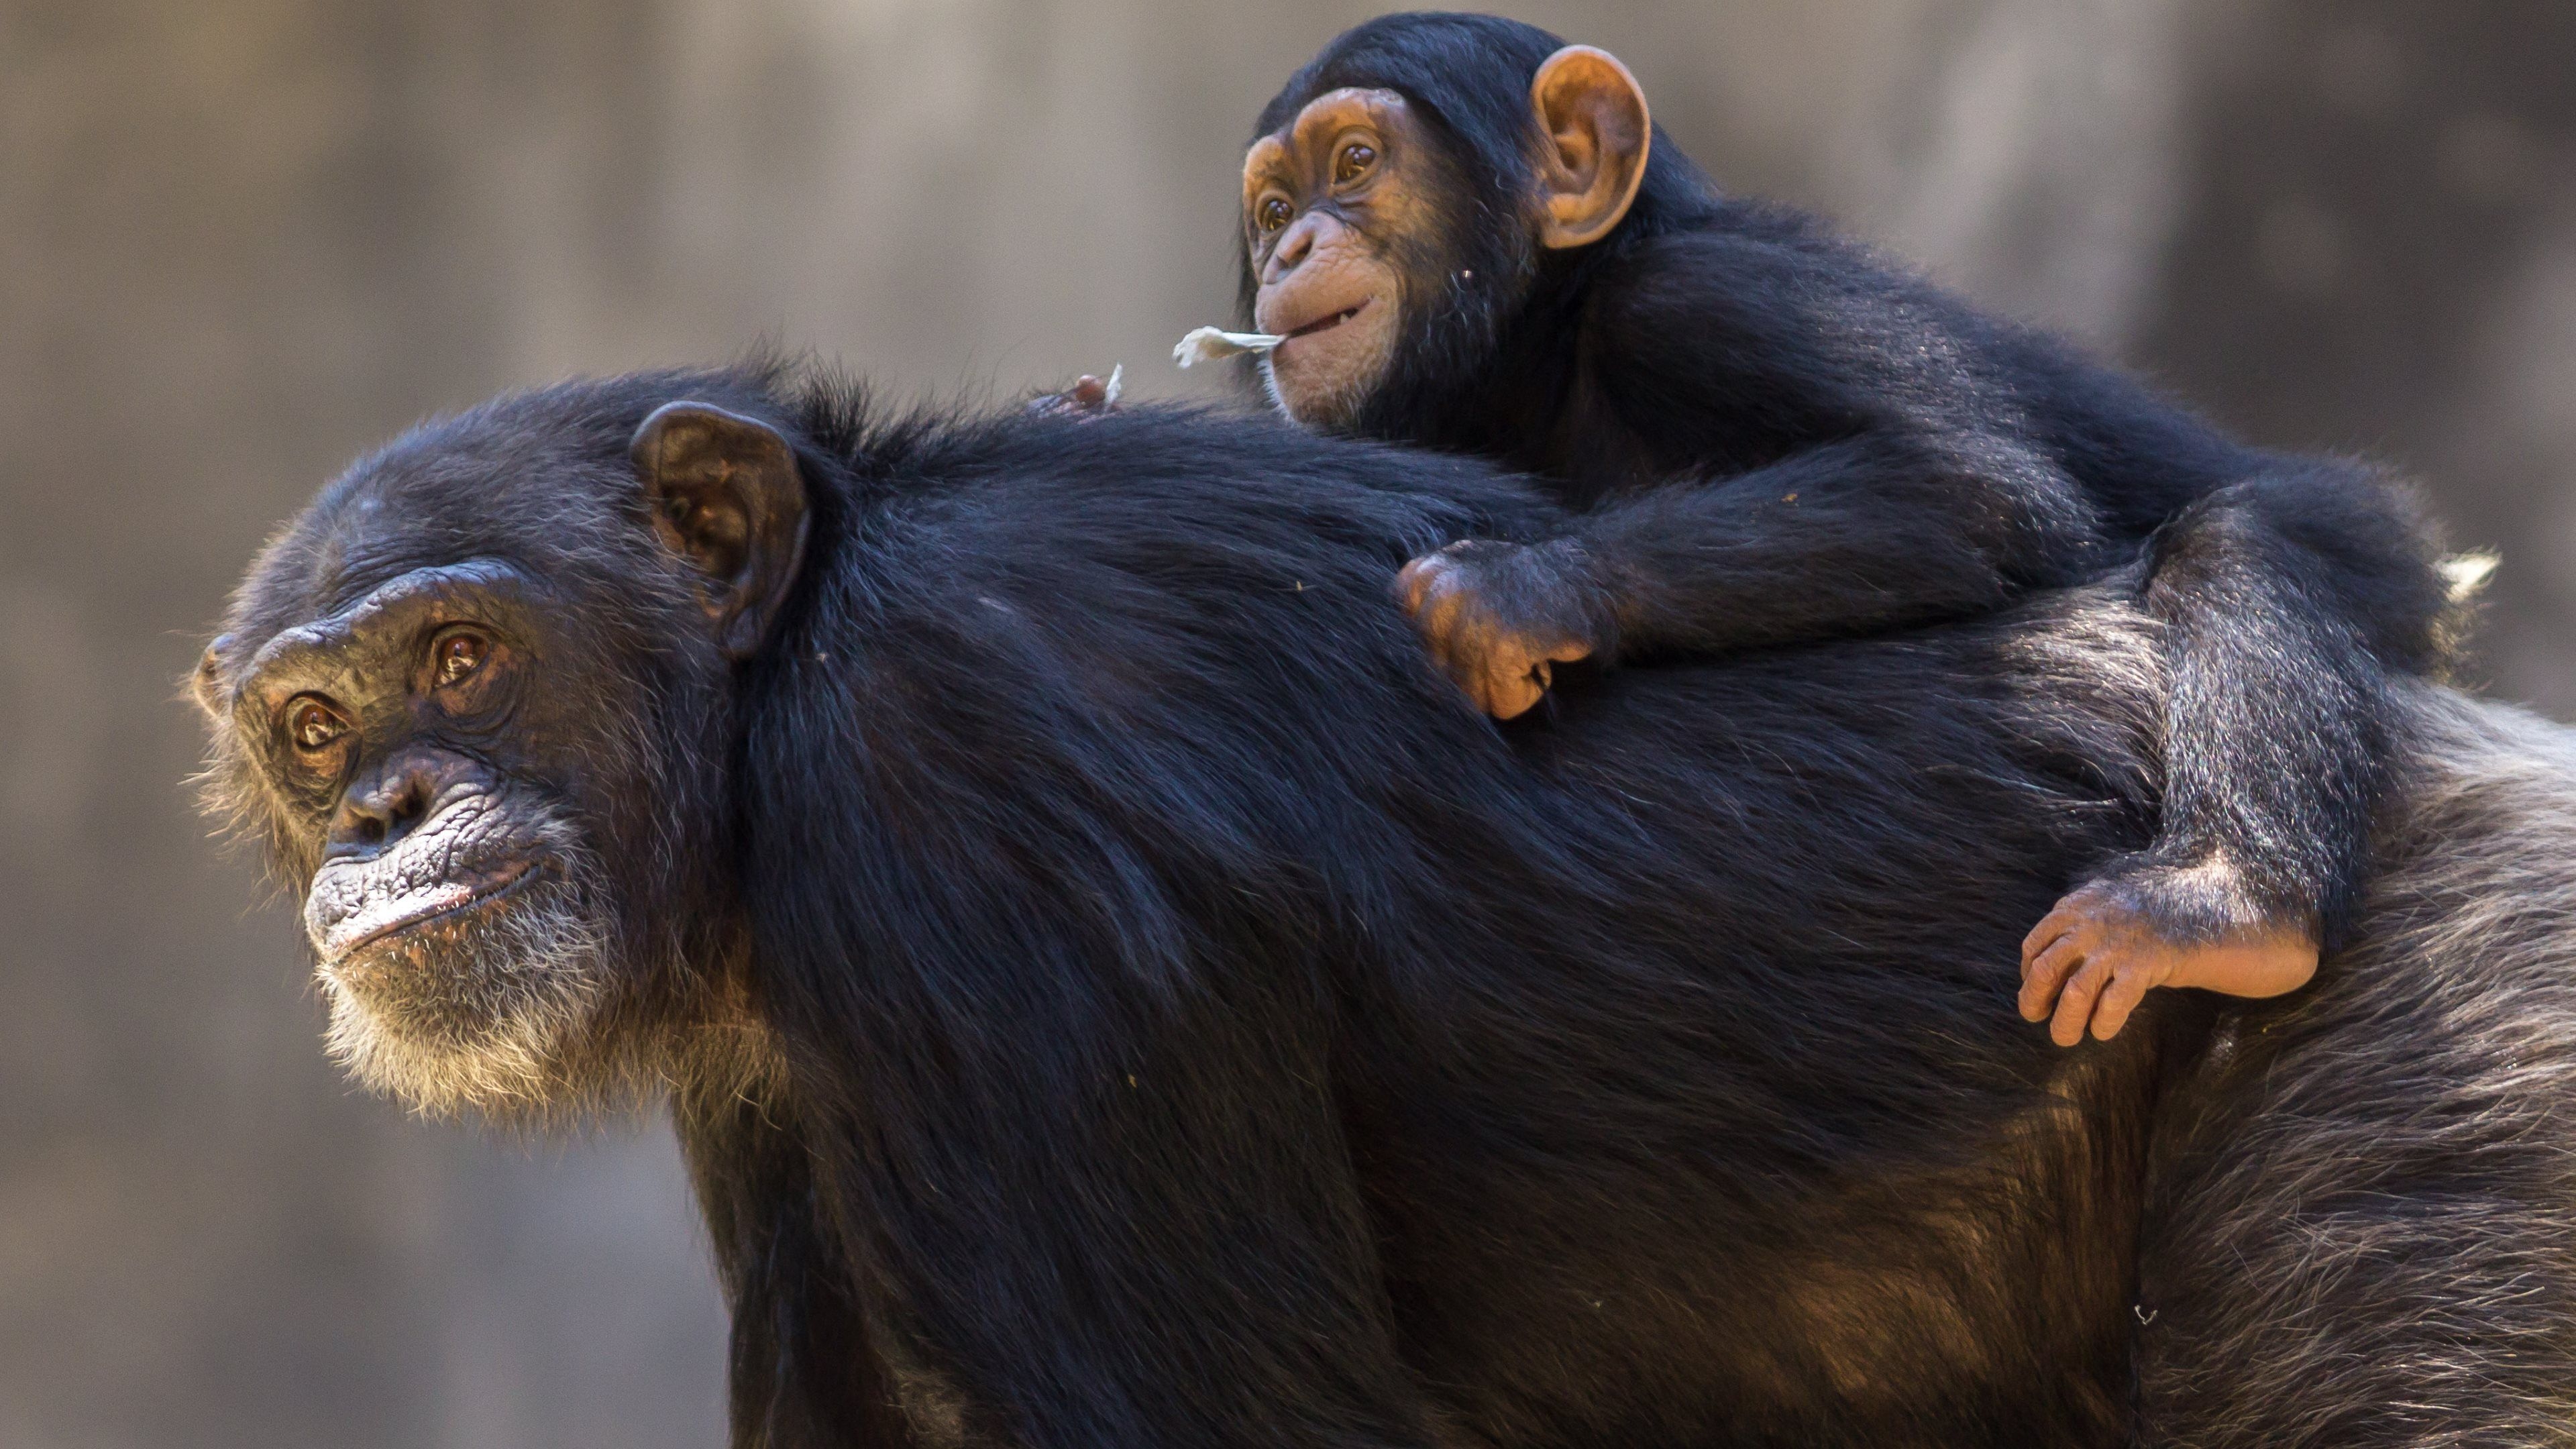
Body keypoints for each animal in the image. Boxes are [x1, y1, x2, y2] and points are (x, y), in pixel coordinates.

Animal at [201, 361, 2576, 1444]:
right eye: (311, 729)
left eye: (466, 659)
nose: (382, 801)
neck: (769, 724)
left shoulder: (970, 811)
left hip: (2454, 1090)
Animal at [1205, 17, 2452, 1041]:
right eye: (1271, 211)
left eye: (1355, 165)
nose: (1293, 250)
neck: (1540, 339)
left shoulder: (1708, 302)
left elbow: (1967, 486)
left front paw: (1512, 592)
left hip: (2371, 549)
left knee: (2242, 535)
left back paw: (2229, 906)